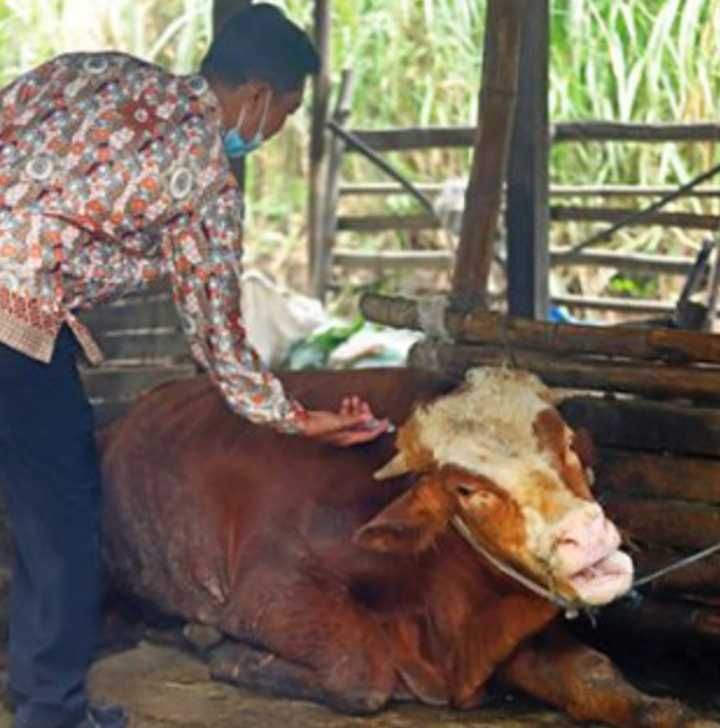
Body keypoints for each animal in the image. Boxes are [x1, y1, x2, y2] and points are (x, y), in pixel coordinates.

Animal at [100, 370, 716, 728]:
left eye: (566, 443)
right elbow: (361, 674)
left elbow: (604, 677)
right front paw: (231, 654)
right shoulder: (265, 593)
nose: (586, 534)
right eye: (466, 489)